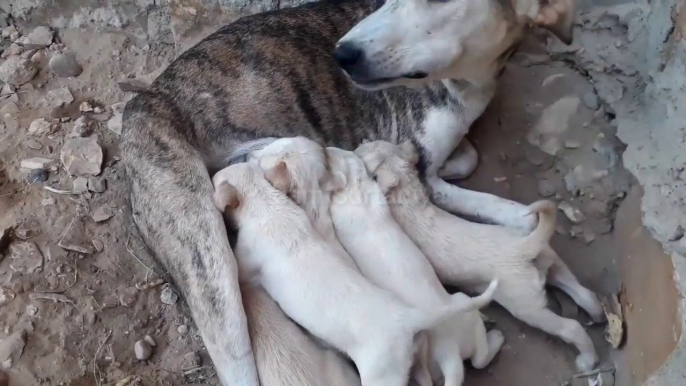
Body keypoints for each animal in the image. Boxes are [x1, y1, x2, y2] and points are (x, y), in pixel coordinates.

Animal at [212, 161, 498, 386]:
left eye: (216, 180)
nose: (212, 172)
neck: (266, 202)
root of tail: (408, 319)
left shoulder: (247, 262)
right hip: (420, 351)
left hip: (381, 376)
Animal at [328, 146, 506, 384]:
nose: (328, 148)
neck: (357, 195)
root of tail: (452, 353)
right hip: (464, 319)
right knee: (480, 358)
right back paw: (494, 334)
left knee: (480, 358)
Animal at [358, 140, 604, 372]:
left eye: (366, 151)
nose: (359, 143)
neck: (408, 198)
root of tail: (526, 246)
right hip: (551, 262)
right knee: (584, 293)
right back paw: (598, 315)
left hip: (528, 307)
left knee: (570, 327)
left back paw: (587, 360)